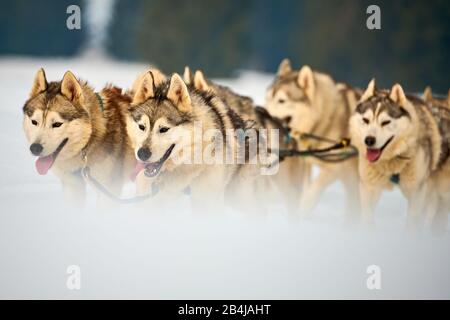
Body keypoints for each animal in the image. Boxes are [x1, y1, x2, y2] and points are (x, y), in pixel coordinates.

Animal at [266, 58, 360, 216]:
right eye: (267, 98)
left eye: (281, 101)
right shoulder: (305, 163)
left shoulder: (336, 166)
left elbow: (315, 187)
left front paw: (304, 207)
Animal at [352, 79, 450, 230]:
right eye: (366, 120)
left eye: (385, 122)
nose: (369, 140)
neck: (392, 163)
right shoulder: (369, 188)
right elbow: (367, 220)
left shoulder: (417, 194)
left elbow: (412, 225)